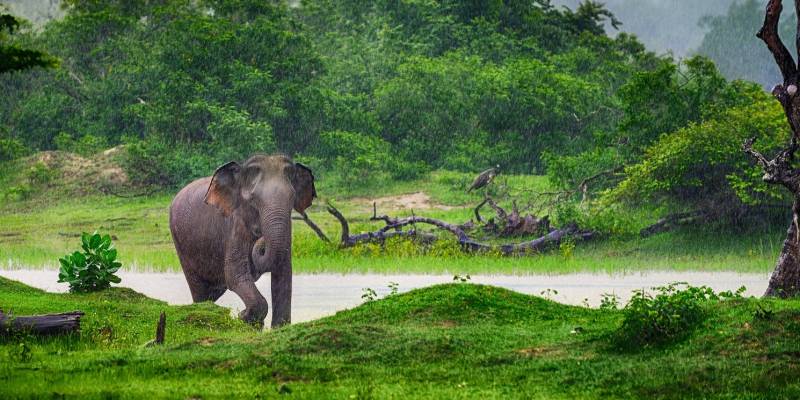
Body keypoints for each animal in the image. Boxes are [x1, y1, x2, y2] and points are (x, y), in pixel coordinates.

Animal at [169, 154, 316, 328]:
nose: (261, 239)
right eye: (253, 199)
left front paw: (276, 327)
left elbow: (284, 273)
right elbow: (234, 274)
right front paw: (243, 317)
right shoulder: (235, 224)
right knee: (199, 290)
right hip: (181, 244)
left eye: (292, 198)